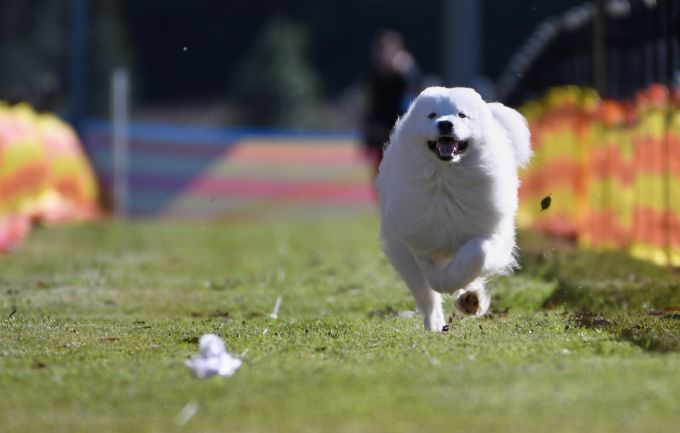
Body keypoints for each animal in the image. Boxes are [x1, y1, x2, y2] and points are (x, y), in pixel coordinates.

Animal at [377, 87, 532, 331]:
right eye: (432, 115)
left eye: (462, 115)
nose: (445, 124)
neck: (446, 176)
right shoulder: (418, 236)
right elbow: (430, 275)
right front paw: (442, 281)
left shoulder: (491, 232)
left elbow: (476, 253)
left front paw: (457, 286)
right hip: (402, 254)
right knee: (426, 296)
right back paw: (435, 325)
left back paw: (470, 300)